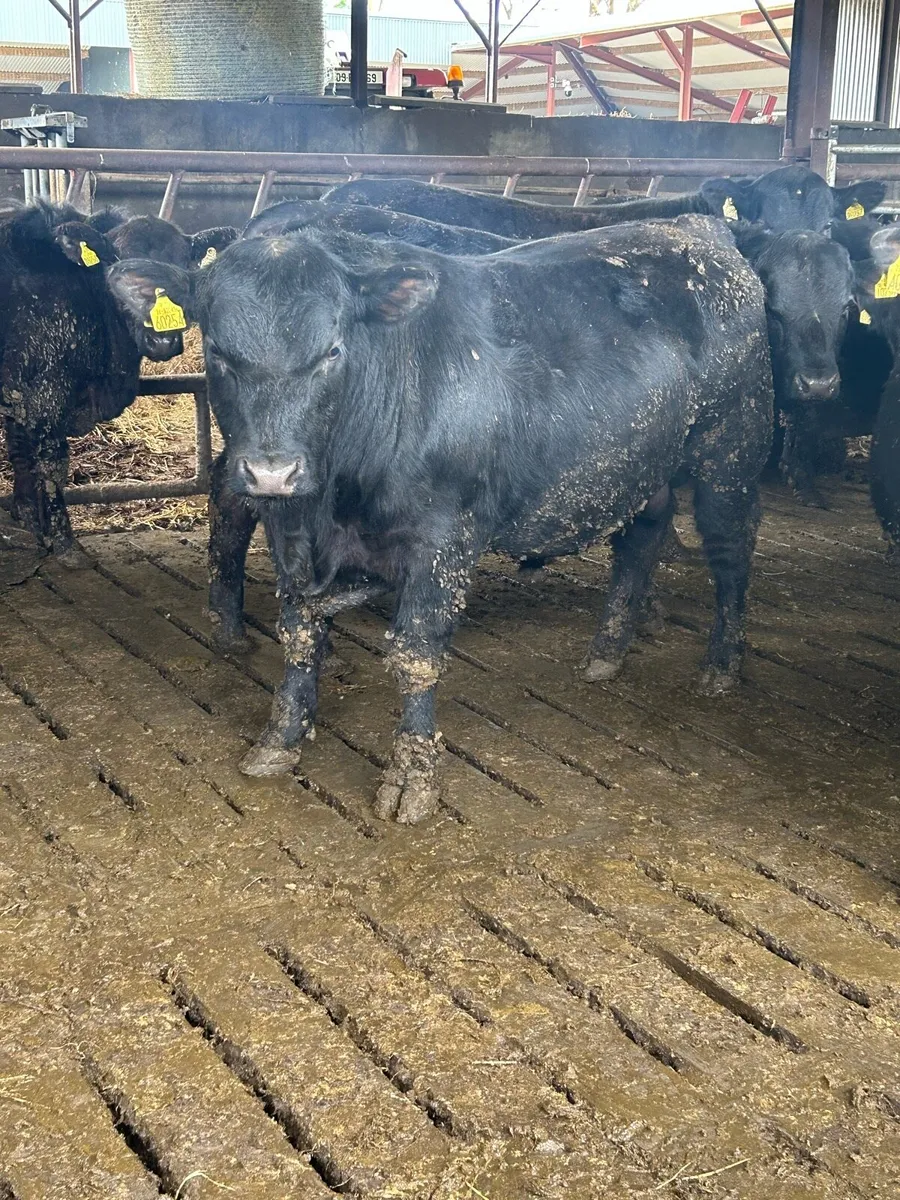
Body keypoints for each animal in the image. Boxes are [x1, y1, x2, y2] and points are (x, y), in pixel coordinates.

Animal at [0, 201, 235, 566]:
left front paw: (27, 522)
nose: (163, 339)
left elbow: (21, 453)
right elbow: (52, 465)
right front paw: (65, 544)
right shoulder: (46, 389)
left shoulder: (18, 392)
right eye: (116, 268)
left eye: (183, 268)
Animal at [109, 215, 773, 824]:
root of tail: (696, 228)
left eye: (333, 351)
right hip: (642, 465)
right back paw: (607, 652)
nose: (273, 472)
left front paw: (412, 778)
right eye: (218, 351)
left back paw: (721, 667)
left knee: (732, 553)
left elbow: (417, 653)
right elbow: (299, 630)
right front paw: (282, 738)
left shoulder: (443, 541)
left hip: (731, 452)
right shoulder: (292, 532)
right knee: (641, 539)